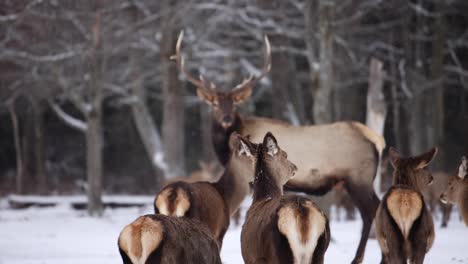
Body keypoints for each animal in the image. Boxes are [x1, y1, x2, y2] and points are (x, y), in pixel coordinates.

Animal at [241, 132, 330, 264]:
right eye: (285, 155)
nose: (295, 167)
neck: (263, 197)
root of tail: (302, 211)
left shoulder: (250, 259)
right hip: (320, 251)